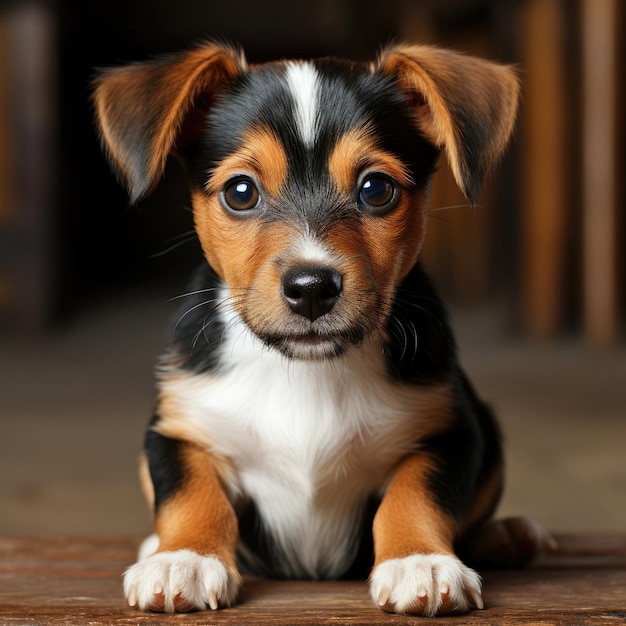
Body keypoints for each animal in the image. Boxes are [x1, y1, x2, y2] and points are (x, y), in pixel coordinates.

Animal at [92, 40, 552, 616]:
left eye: (376, 189)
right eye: (240, 192)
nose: (311, 287)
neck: (306, 371)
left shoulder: (452, 429)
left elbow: (417, 492)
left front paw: (419, 560)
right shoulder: (178, 428)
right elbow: (189, 491)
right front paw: (185, 557)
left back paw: (506, 534)